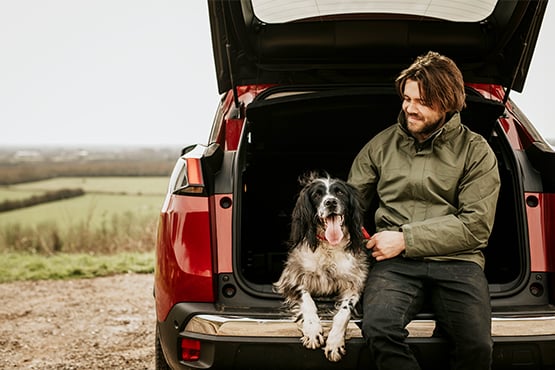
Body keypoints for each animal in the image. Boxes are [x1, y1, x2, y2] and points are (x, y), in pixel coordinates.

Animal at [274, 173, 370, 362]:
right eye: (317, 195)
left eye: (339, 192)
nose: (330, 202)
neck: (329, 246)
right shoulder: (291, 278)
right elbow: (307, 301)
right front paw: (312, 331)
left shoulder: (354, 285)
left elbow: (344, 313)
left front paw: (334, 342)